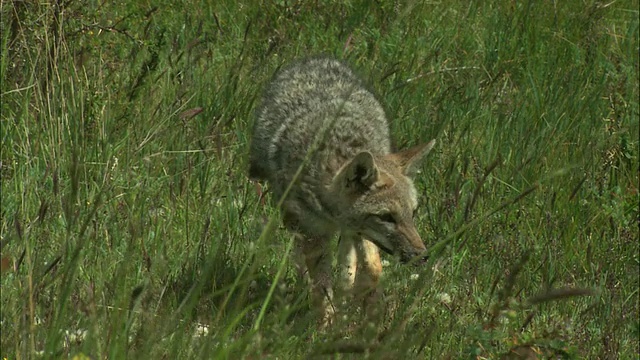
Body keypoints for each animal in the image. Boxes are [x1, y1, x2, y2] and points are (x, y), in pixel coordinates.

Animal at [249, 57, 436, 326]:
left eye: (413, 213)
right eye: (387, 217)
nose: (422, 256)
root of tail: (315, 59)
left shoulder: (360, 232)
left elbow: (372, 267)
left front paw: (368, 311)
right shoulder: (314, 235)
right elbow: (321, 287)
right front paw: (327, 325)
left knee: (349, 261)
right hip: (293, 221)